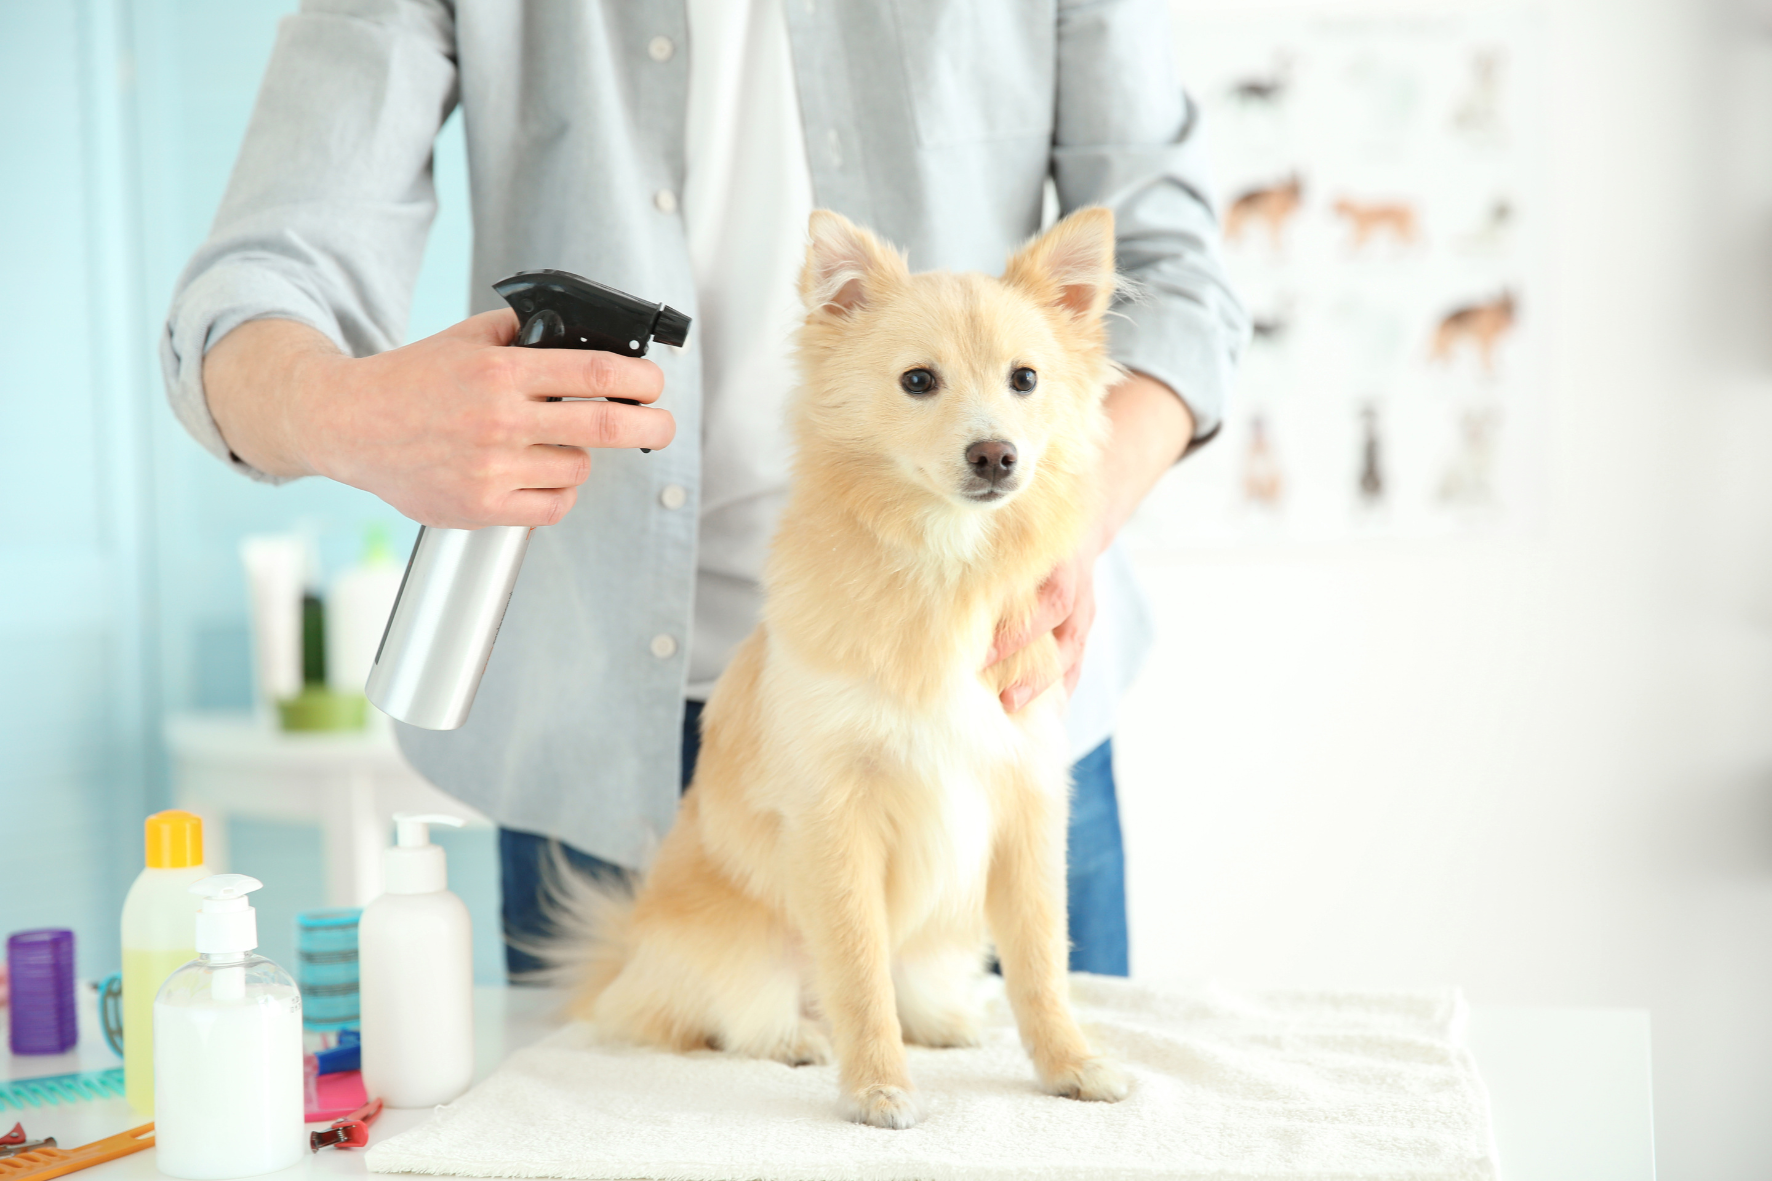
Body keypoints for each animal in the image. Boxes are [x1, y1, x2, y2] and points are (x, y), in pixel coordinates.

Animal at [552, 206, 1126, 1127]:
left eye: (1026, 379)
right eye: (919, 381)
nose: (995, 453)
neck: (943, 566)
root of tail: (626, 954)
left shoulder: (1026, 800)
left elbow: (1042, 961)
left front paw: (1069, 1063)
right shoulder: (836, 816)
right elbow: (857, 968)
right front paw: (878, 1084)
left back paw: (939, 1022)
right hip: (739, 946)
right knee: (725, 1016)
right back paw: (798, 1037)